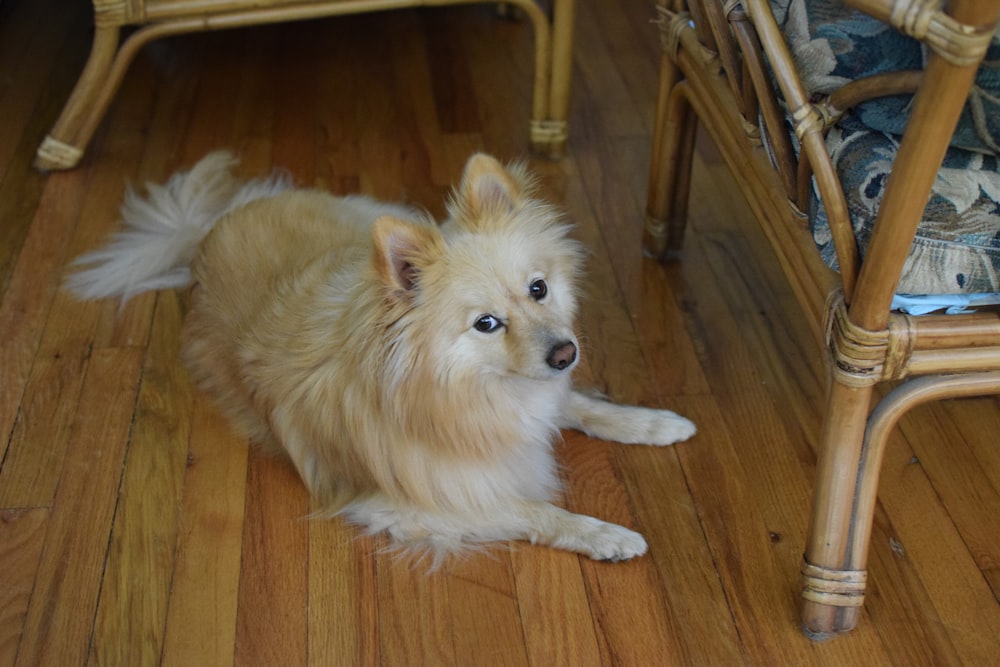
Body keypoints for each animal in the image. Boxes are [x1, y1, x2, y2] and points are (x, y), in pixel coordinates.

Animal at [68, 153, 696, 564]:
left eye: (538, 289)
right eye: (486, 324)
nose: (566, 353)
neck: (465, 389)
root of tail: (206, 232)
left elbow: (585, 407)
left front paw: (654, 422)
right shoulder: (416, 504)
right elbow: (536, 511)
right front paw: (606, 535)